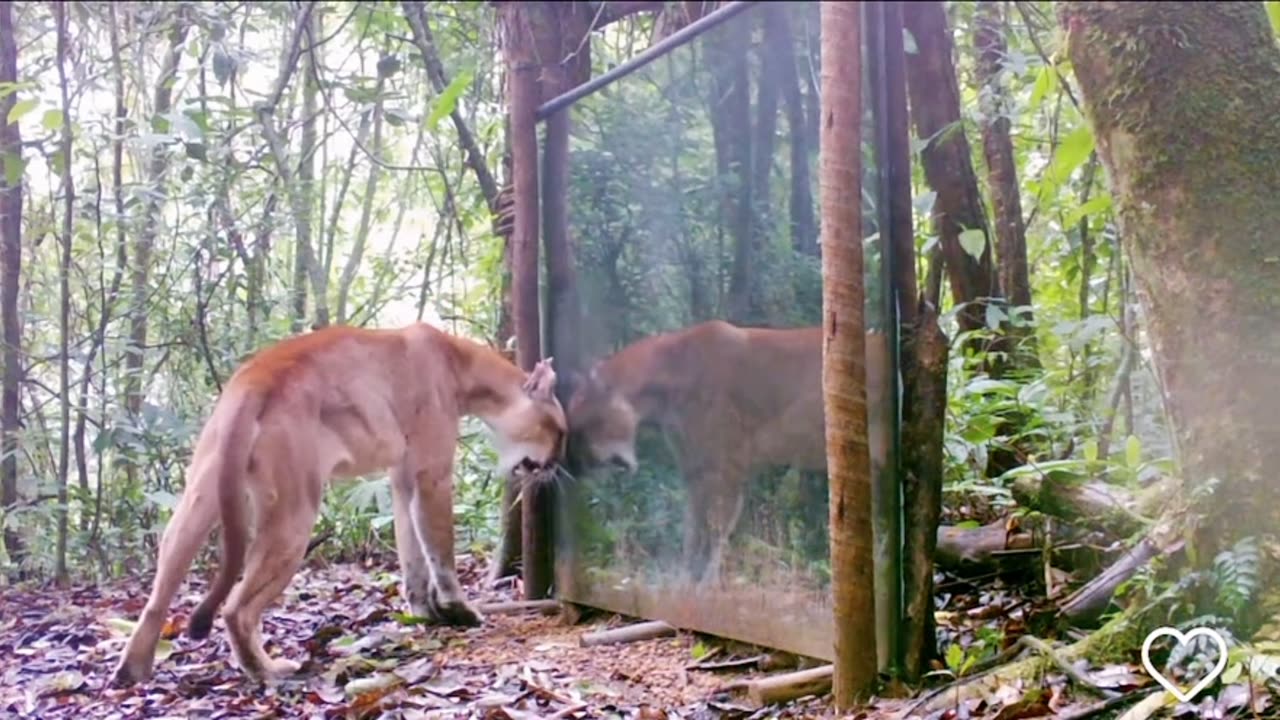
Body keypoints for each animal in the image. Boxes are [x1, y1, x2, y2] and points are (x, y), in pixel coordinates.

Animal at [111, 323, 567, 686]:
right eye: (560, 430)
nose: (557, 463)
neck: (459, 363)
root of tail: (256, 376)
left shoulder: (401, 478)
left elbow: (411, 550)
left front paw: (424, 611)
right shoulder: (431, 473)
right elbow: (438, 547)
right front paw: (459, 609)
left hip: (198, 496)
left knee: (159, 592)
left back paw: (132, 670)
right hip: (295, 512)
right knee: (236, 608)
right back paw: (269, 671)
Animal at [566, 319, 885, 583]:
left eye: (583, 426)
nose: (575, 466)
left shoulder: (726, 468)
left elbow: (716, 530)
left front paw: (707, 590)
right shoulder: (696, 471)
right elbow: (692, 531)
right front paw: (683, 585)